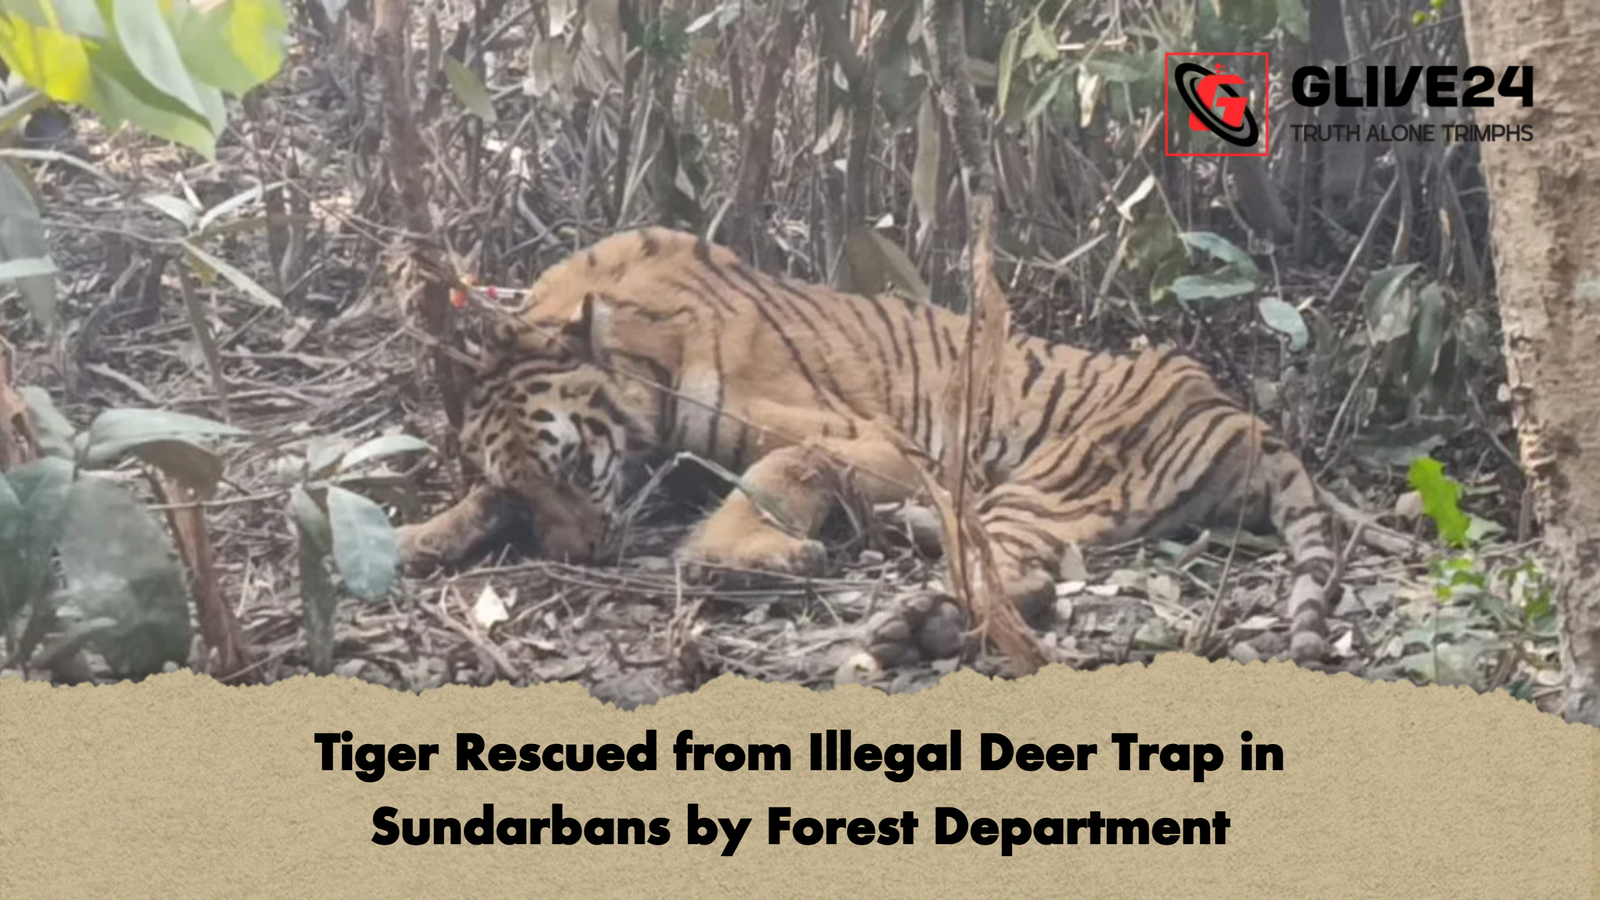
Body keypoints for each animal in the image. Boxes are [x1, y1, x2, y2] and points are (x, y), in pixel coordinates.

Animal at [396, 227, 1339, 669]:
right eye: (523, 489)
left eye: (572, 465)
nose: (574, 558)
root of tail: (1240, 412)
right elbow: (471, 501)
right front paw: (414, 537)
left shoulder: (871, 438)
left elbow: (776, 474)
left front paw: (738, 557)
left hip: (1050, 480)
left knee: (1015, 577)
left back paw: (911, 614)